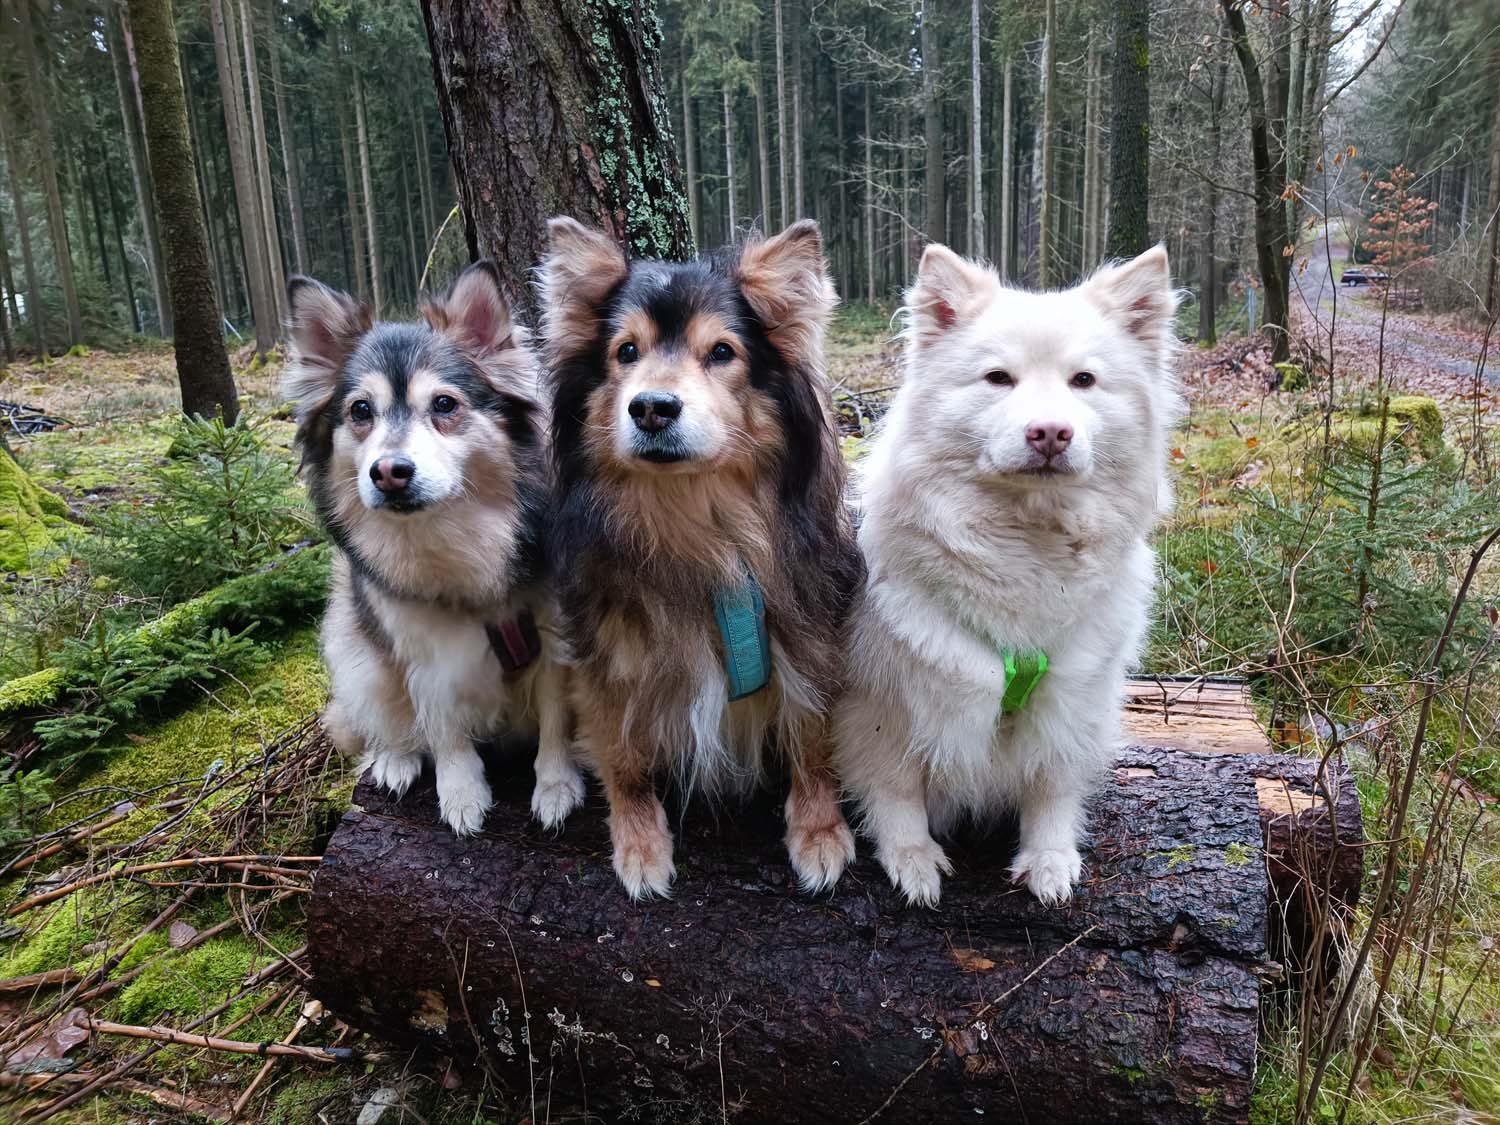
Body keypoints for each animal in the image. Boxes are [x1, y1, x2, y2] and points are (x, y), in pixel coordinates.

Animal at [282, 262, 584, 837]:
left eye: (444, 404)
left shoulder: (557, 634)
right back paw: (395, 757)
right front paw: (461, 791)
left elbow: (557, 718)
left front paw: (556, 784)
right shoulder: (421, 649)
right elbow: (441, 725)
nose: (389, 472)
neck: (449, 533)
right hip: (354, 645)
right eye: (361, 410)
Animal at [537, 218, 864, 899]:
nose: (651, 407)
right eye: (625, 352)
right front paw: (639, 841)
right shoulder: (605, 650)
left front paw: (819, 829)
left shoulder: (807, 629)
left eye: (721, 352)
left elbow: (811, 732)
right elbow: (623, 753)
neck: (699, 526)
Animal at [833, 243, 1181, 906]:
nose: (1050, 433)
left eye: (1083, 380)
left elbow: (1052, 782)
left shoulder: (1071, 697)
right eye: (998, 378)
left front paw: (1048, 857)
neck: (1026, 542)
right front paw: (911, 856)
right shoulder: (880, 703)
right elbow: (896, 788)